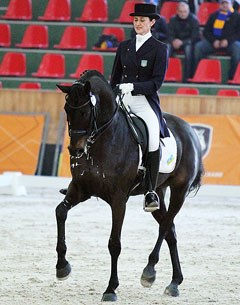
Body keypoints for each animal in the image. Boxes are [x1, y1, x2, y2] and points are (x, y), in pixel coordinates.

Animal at [55, 70, 203, 300]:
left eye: (86, 111)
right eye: (67, 109)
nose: (75, 150)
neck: (103, 139)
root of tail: (189, 129)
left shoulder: (118, 200)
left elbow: (114, 243)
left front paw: (111, 288)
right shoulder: (80, 189)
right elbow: (60, 212)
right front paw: (62, 267)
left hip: (180, 190)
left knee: (165, 226)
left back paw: (149, 272)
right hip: (157, 192)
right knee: (170, 231)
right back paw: (174, 283)